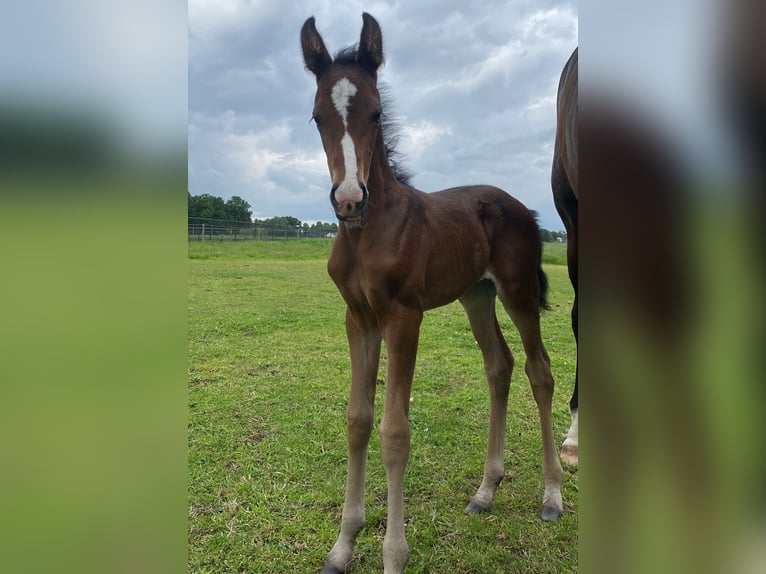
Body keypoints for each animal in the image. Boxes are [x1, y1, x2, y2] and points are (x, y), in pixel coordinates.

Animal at [301, 13, 563, 573]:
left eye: (377, 113)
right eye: (316, 117)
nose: (349, 199)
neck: (369, 230)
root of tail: (522, 207)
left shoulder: (404, 317)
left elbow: (394, 432)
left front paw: (393, 555)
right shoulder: (359, 318)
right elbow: (358, 420)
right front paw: (343, 545)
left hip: (518, 292)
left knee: (540, 370)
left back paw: (552, 495)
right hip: (477, 297)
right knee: (500, 366)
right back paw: (486, 490)